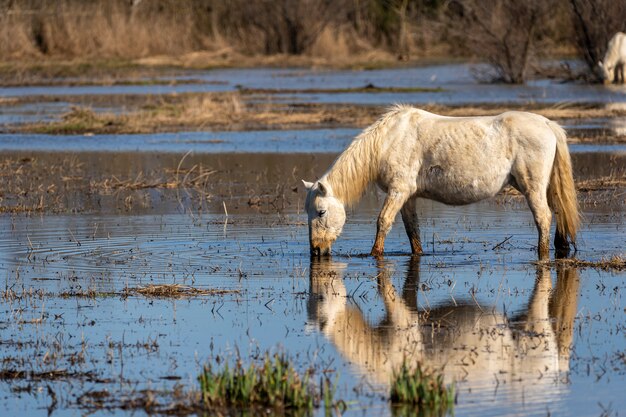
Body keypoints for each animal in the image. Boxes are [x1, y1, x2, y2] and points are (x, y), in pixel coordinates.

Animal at [300, 105, 576, 258]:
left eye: (321, 212)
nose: (316, 250)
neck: (388, 141)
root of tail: (547, 124)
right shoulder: (408, 197)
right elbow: (412, 230)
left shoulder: (398, 191)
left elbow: (383, 222)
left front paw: (374, 254)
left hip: (532, 187)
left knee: (543, 218)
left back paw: (542, 253)